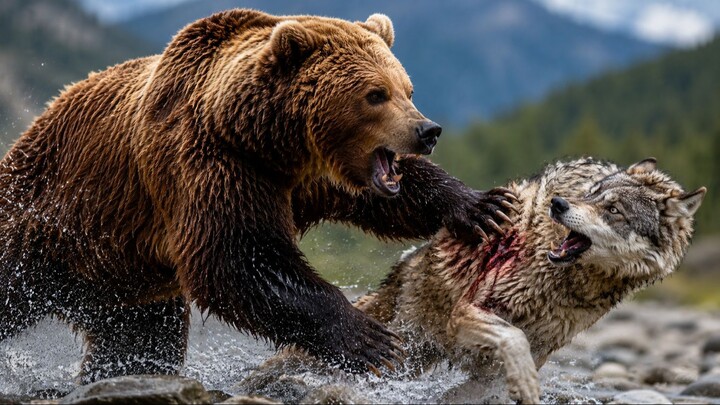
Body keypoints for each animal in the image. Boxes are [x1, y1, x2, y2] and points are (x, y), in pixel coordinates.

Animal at [0, 9, 513, 383]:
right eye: (375, 94)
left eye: (407, 89)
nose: (427, 130)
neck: (273, 141)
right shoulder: (212, 165)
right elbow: (238, 257)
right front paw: (367, 337)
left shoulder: (313, 177)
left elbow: (392, 196)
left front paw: (483, 206)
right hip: (46, 219)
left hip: (126, 285)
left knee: (140, 342)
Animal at [243, 157, 706, 403]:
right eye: (590, 194)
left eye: (613, 210)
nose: (558, 205)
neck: (568, 286)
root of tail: (406, 264)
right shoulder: (469, 313)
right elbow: (513, 340)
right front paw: (527, 384)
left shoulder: (498, 368)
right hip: (383, 345)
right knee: (289, 357)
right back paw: (253, 383)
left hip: (406, 360)